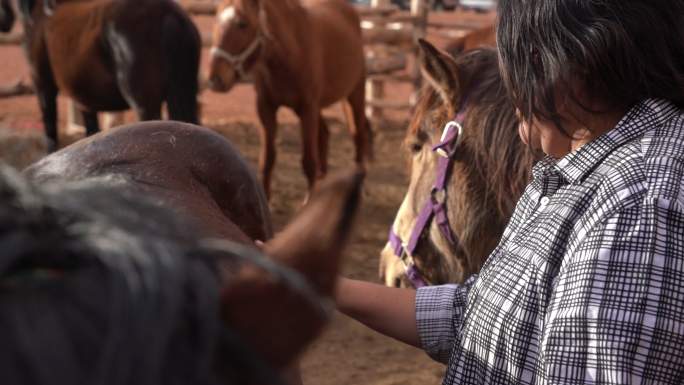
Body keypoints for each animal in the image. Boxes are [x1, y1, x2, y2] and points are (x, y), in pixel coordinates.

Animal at [2, 1, 200, 152]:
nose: (6, 20)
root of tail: (168, 14)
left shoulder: (43, 85)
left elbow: (50, 130)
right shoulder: (85, 102)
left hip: (145, 106)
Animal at [207, 0, 372, 198]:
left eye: (242, 24)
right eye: (216, 20)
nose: (215, 79)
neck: (291, 54)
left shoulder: (308, 109)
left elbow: (309, 162)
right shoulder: (266, 108)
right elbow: (267, 160)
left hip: (354, 95)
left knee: (358, 135)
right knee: (325, 134)